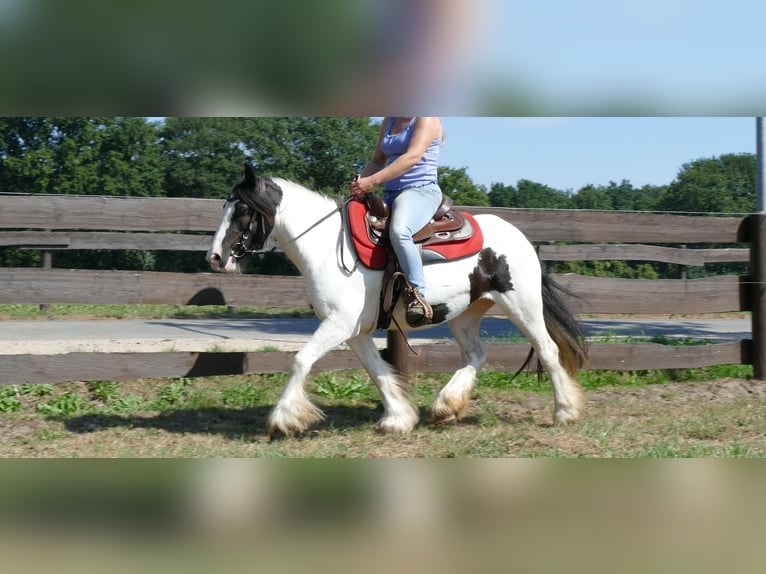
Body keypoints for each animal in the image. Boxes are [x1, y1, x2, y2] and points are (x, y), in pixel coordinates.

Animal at [207, 164, 592, 438]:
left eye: (242, 211)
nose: (215, 257)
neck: (329, 247)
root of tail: (519, 236)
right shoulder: (355, 331)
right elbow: (378, 372)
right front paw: (398, 419)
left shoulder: (337, 325)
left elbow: (300, 361)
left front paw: (283, 420)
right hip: (465, 313)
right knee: (475, 355)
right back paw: (445, 407)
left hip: (521, 305)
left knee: (547, 350)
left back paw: (564, 412)